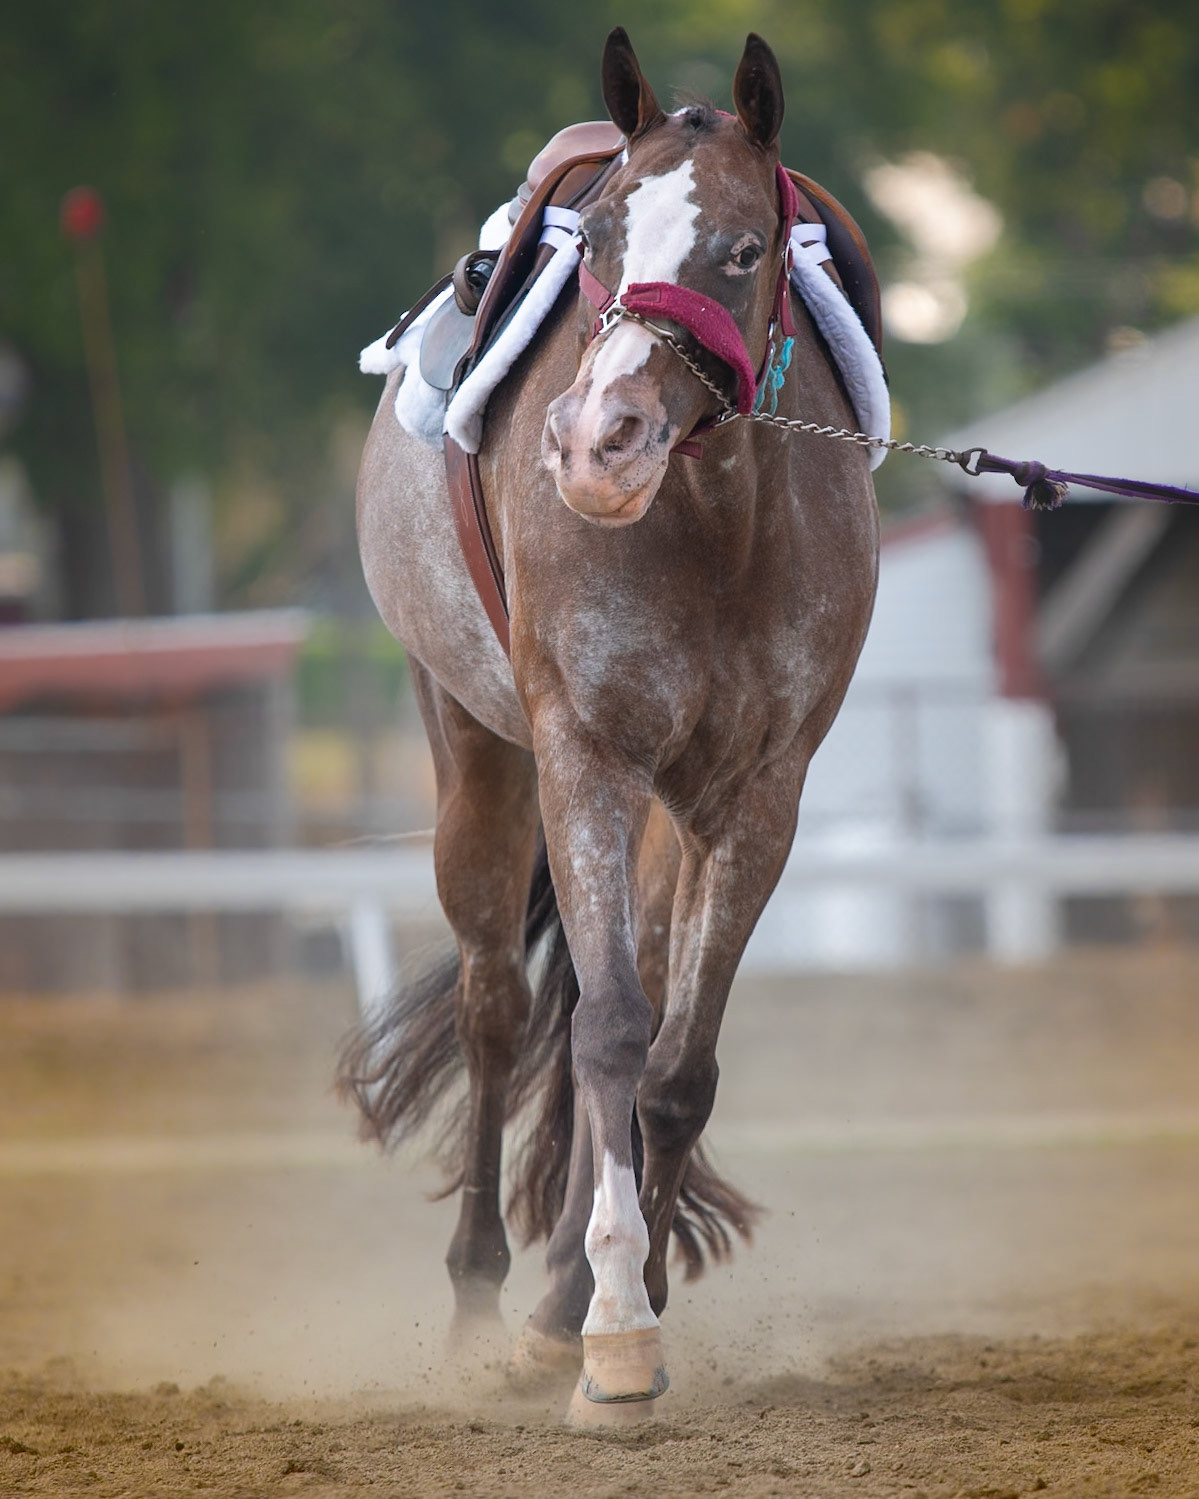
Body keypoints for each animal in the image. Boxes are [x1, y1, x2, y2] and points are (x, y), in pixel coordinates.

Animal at [340, 28, 880, 1422]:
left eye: (740, 250)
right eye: (594, 242)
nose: (597, 440)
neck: (715, 523)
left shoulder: (754, 796)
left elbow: (672, 1066)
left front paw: (602, 1308)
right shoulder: (583, 757)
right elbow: (607, 1032)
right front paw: (613, 1331)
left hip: (661, 817)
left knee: (613, 1002)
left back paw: (552, 1299)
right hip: (476, 755)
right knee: (497, 1006)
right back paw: (480, 1295)